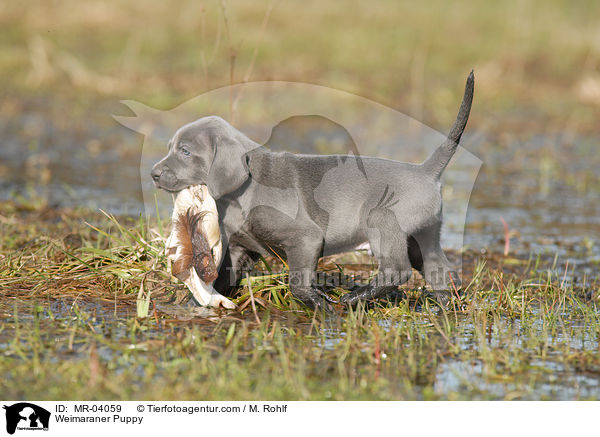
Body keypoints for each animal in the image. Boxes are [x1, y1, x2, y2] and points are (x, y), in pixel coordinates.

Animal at [152, 71, 476, 308]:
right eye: (170, 148)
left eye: (185, 152)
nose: (153, 174)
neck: (243, 192)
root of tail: (424, 170)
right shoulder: (240, 247)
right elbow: (223, 277)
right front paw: (199, 302)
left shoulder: (305, 237)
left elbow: (297, 283)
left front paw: (318, 301)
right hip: (422, 237)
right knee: (439, 270)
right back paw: (445, 308)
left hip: (384, 221)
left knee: (397, 270)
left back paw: (354, 298)